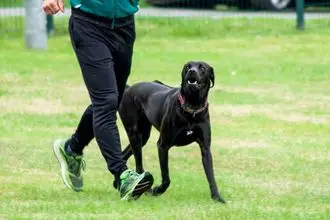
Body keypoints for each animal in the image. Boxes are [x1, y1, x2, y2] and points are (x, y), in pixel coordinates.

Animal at [117, 60, 226, 203]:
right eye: (187, 66)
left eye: (202, 67)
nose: (192, 71)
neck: (192, 108)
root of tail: (129, 89)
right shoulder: (163, 145)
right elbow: (166, 177)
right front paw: (158, 190)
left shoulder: (205, 148)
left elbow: (211, 175)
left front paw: (217, 197)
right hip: (134, 134)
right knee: (139, 165)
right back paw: (144, 189)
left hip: (143, 136)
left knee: (124, 155)